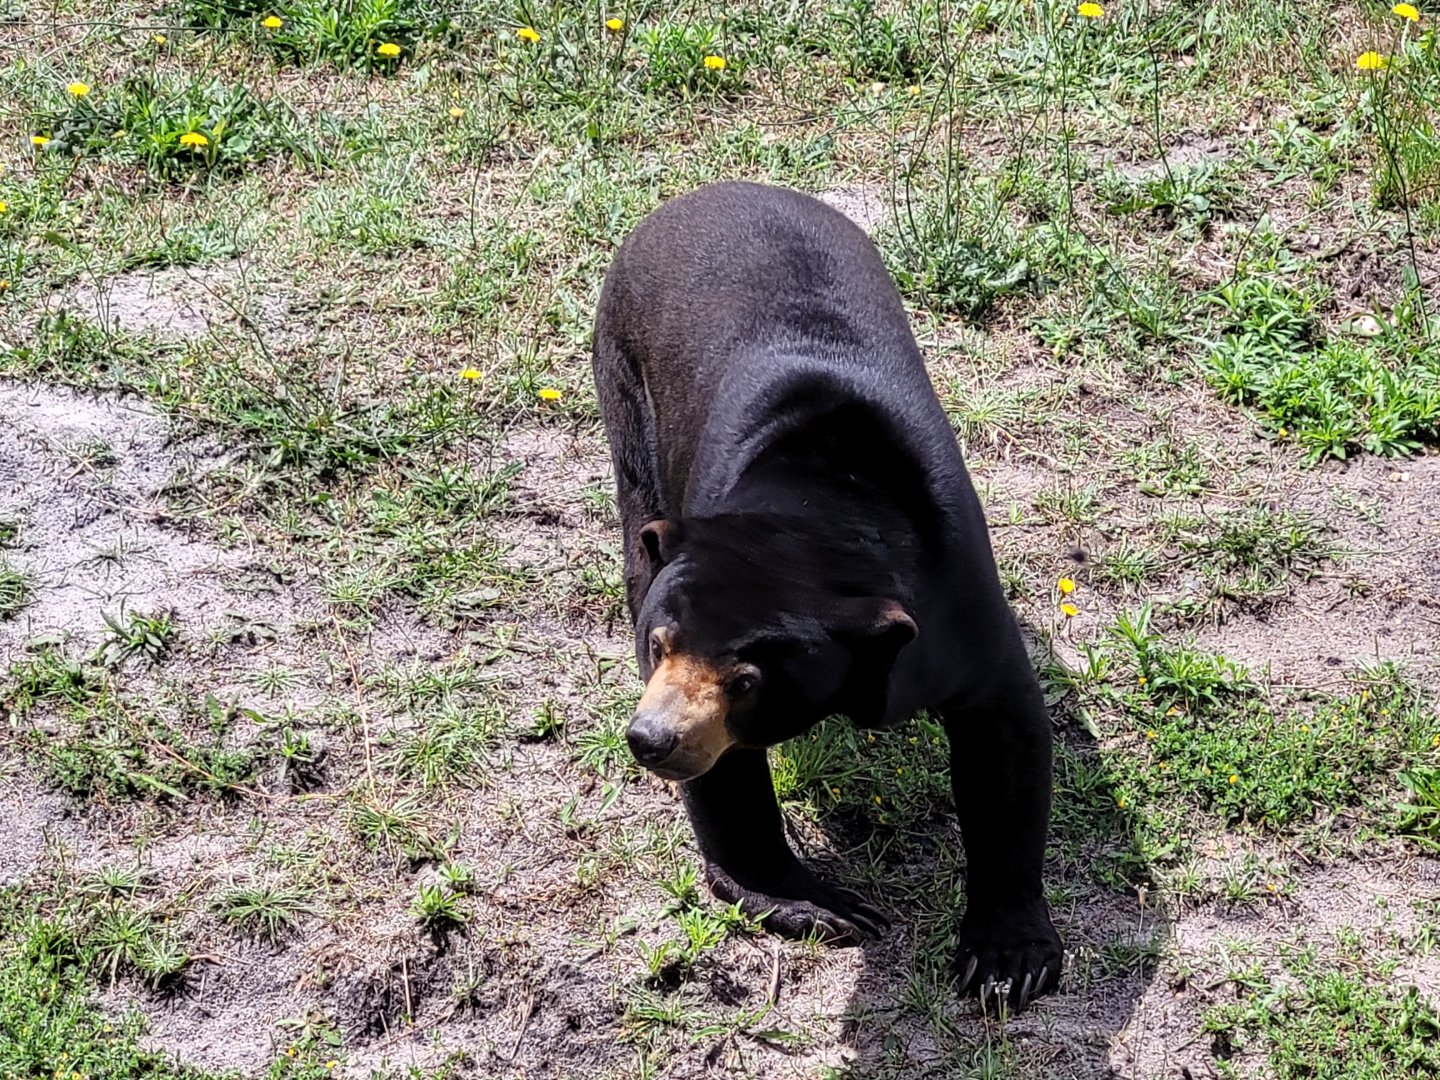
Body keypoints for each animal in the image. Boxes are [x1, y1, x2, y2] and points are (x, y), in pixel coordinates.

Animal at [589, 180, 1062, 1011]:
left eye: (748, 681)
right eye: (659, 644)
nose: (651, 739)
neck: (824, 500)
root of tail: (711, 188)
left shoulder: (959, 594)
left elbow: (1005, 738)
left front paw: (1008, 962)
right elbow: (728, 781)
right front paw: (823, 904)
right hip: (625, 387)